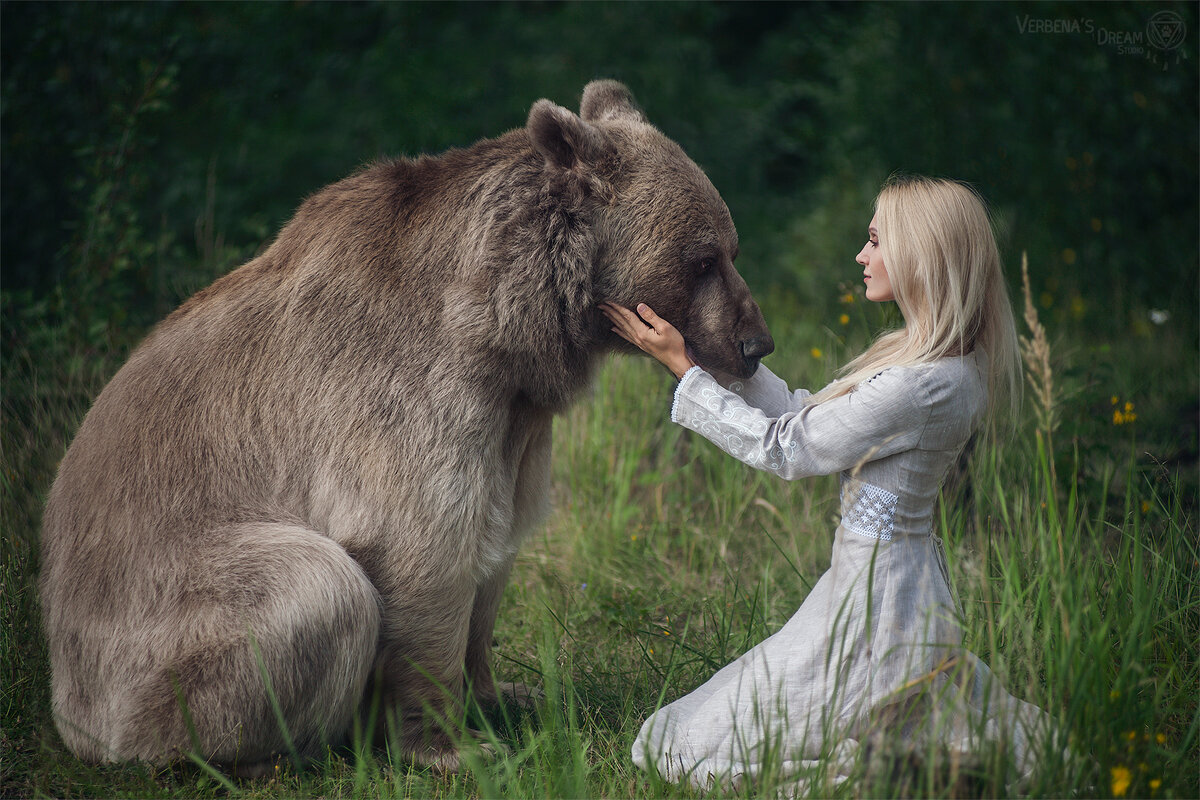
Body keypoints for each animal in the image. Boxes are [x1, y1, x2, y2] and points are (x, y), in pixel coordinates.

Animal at [42, 77, 772, 772]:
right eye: (704, 258)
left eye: (730, 248)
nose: (755, 342)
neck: (506, 329)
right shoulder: (405, 397)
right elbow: (422, 548)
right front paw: (452, 746)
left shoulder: (512, 427)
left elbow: (496, 549)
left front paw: (507, 693)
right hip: (155, 617)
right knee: (319, 588)